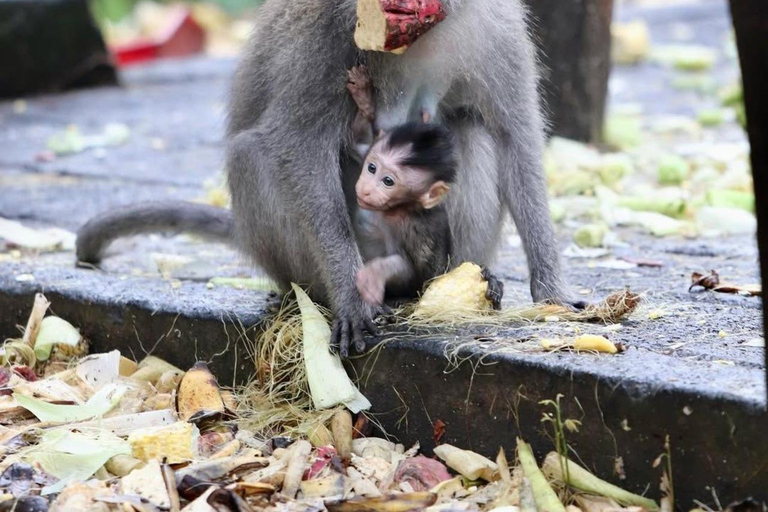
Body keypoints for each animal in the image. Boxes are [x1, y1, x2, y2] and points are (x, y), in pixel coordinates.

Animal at [76, 0, 582, 358]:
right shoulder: (324, 34)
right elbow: (296, 142)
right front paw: (350, 297)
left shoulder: (497, 27)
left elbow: (516, 137)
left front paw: (552, 291)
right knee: (252, 155)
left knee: (469, 127)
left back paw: (461, 278)